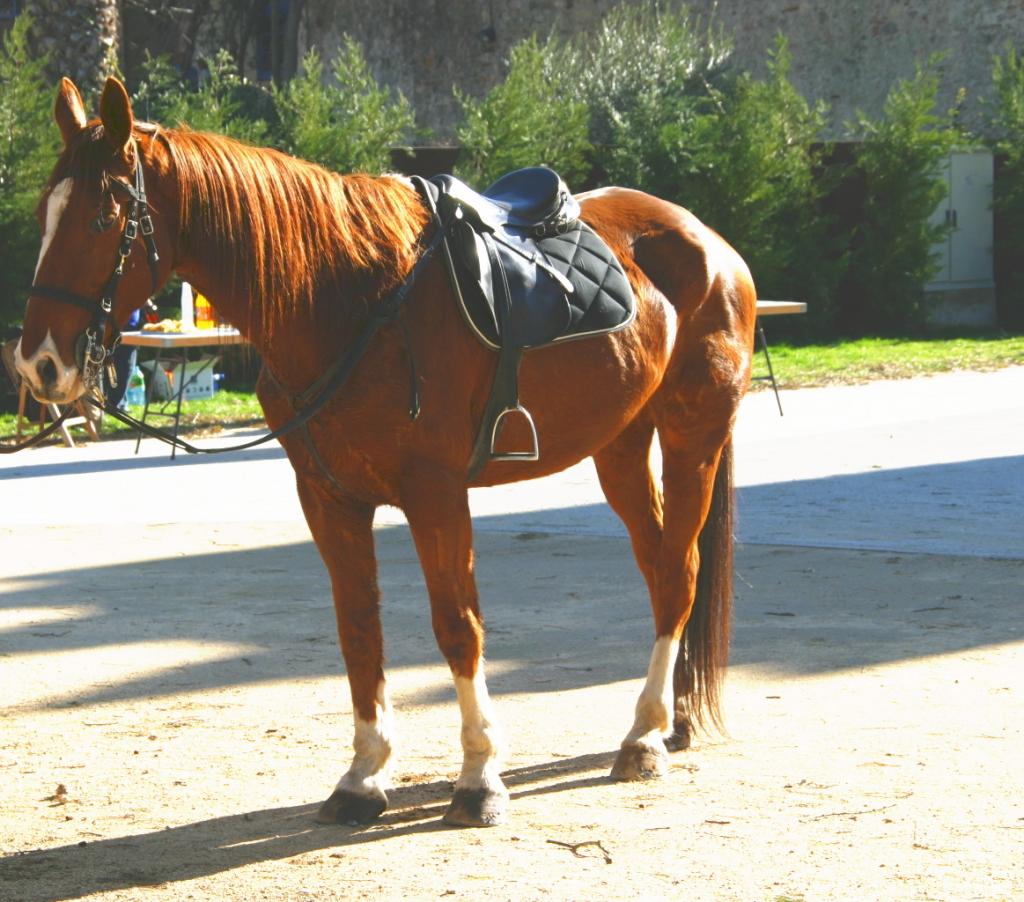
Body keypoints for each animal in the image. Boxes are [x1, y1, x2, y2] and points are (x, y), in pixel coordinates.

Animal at [12, 77, 757, 823]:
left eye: (102, 218)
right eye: (43, 214)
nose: (40, 363)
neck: (348, 301)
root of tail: (708, 243)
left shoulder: (436, 494)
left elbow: (458, 625)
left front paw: (479, 775)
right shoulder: (329, 498)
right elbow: (359, 629)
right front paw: (364, 775)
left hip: (692, 436)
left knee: (679, 573)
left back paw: (644, 738)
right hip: (621, 447)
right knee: (660, 569)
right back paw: (665, 723)